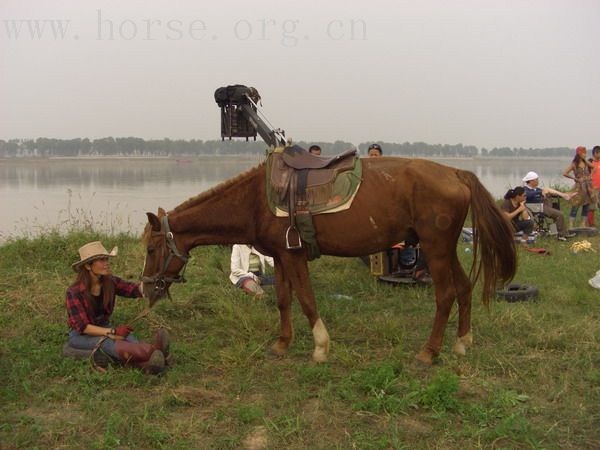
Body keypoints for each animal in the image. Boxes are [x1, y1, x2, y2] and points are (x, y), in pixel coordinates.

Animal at [141, 156, 516, 364]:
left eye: (150, 250)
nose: (145, 289)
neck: (254, 200)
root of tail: (456, 173)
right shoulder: (280, 256)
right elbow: (283, 300)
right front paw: (282, 344)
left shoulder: (293, 256)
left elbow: (306, 300)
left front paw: (320, 347)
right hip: (445, 248)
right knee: (464, 288)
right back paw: (462, 342)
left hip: (435, 248)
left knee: (445, 295)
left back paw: (429, 351)